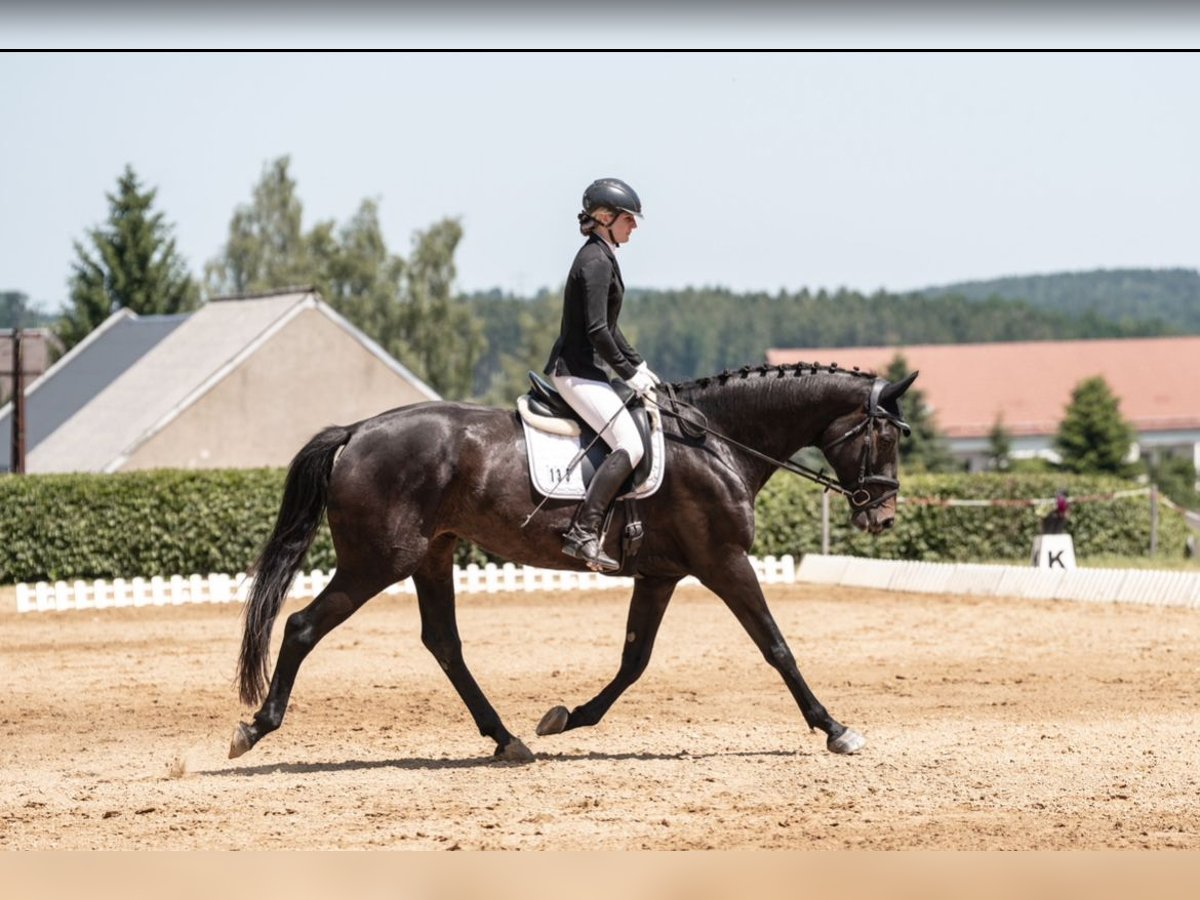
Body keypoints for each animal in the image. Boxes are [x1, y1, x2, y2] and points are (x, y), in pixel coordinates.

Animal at [230, 362, 917, 763]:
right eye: (885, 435)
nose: (882, 516)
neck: (717, 441)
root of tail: (355, 432)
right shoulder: (725, 562)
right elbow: (777, 647)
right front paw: (835, 728)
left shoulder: (661, 574)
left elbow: (635, 660)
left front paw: (567, 718)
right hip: (379, 561)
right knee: (304, 626)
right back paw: (254, 728)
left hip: (431, 554)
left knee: (443, 642)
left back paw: (507, 740)